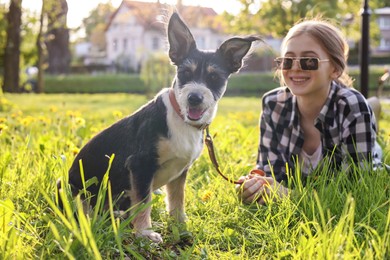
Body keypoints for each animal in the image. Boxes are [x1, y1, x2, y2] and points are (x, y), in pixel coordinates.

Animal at [57, 12, 258, 244]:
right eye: (185, 73)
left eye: (214, 77)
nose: (194, 98)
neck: (182, 120)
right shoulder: (140, 165)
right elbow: (144, 202)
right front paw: (145, 232)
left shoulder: (181, 171)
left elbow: (177, 199)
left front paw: (180, 225)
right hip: (72, 189)